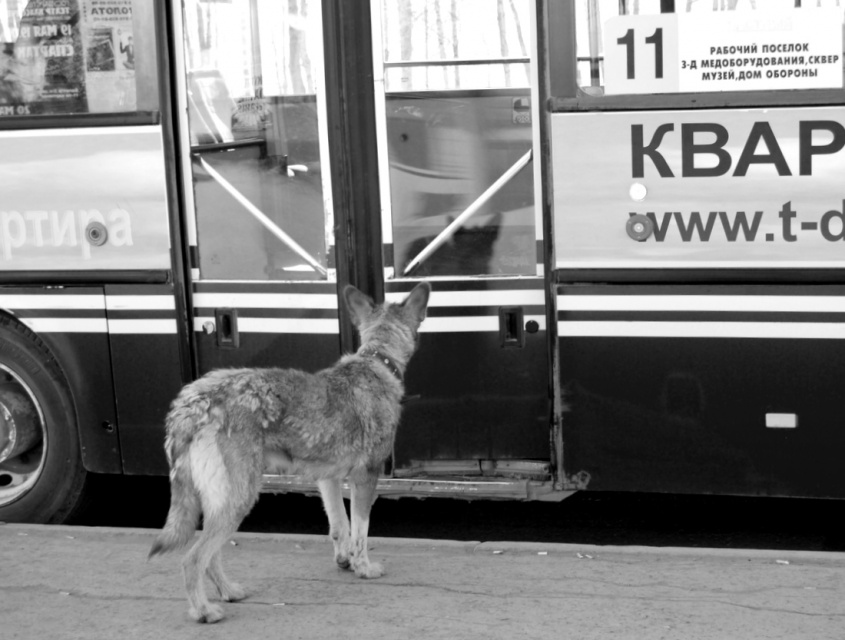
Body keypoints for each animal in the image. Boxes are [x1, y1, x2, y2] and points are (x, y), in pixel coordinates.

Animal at [148, 282, 431, 623]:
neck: (376, 362)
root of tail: (193, 402)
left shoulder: (327, 479)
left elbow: (340, 526)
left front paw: (345, 561)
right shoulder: (366, 479)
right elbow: (361, 530)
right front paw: (363, 568)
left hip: (222, 502)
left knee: (210, 557)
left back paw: (229, 592)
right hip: (239, 498)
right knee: (192, 559)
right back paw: (204, 611)